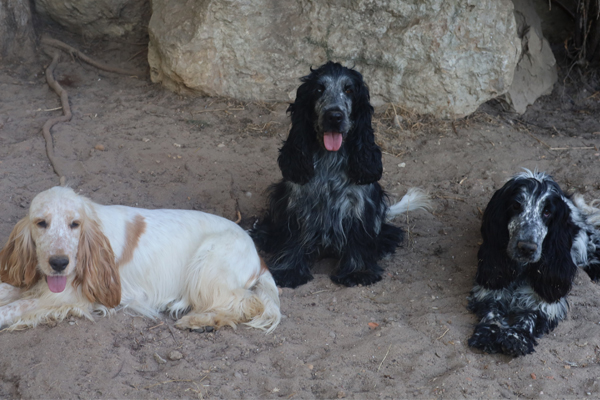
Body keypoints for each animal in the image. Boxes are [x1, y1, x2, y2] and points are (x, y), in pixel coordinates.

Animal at [0, 188, 282, 332]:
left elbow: (16, 307)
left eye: (75, 224)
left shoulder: (70, 296)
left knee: (247, 303)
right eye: (41, 223)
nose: (59, 263)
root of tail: (258, 257)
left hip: (207, 266)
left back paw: (198, 320)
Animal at [253, 61, 432, 288]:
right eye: (318, 89)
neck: (330, 158)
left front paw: (358, 272)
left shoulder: (359, 205)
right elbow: (294, 237)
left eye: (349, 90)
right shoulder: (297, 203)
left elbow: (358, 237)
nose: (334, 116)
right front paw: (289, 270)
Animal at [468, 170, 600, 358]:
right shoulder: (489, 289)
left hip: (580, 235)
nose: (527, 248)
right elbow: (492, 311)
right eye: (516, 205)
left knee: (592, 237)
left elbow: (530, 316)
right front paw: (488, 335)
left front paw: (516, 338)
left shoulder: (547, 302)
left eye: (547, 212)